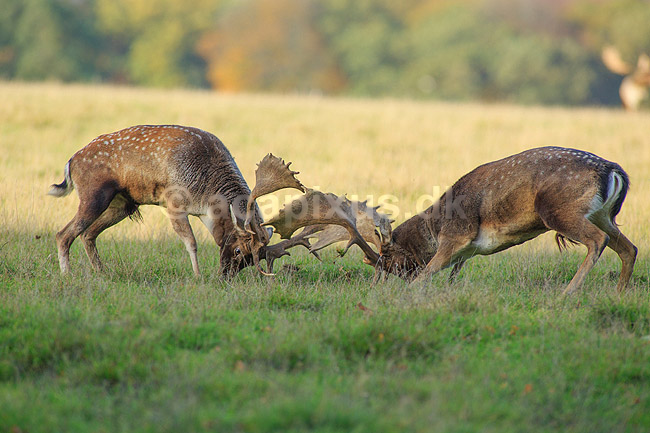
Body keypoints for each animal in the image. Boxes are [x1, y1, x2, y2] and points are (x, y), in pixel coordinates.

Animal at [48, 125, 311, 278]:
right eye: (238, 249)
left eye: (250, 260)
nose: (226, 276)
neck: (205, 197)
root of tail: (71, 162)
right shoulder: (173, 201)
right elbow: (191, 242)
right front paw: (197, 276)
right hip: (94, 195)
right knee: (64, 233)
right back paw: (67, 275)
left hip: (122, 204)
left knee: (88, 234)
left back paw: (102, 272)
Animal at [267, 147, 637, 294]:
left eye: (391, 264)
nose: (376, 289)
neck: (436, 225)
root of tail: (614, 171)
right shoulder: (467, 251)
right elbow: (451, 276)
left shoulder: (456, 237)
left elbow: (427, 274)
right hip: (604, 215)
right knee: (629, 248)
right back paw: (618, 293)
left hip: (560, 211)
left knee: (597, 242)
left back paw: (567, 293)